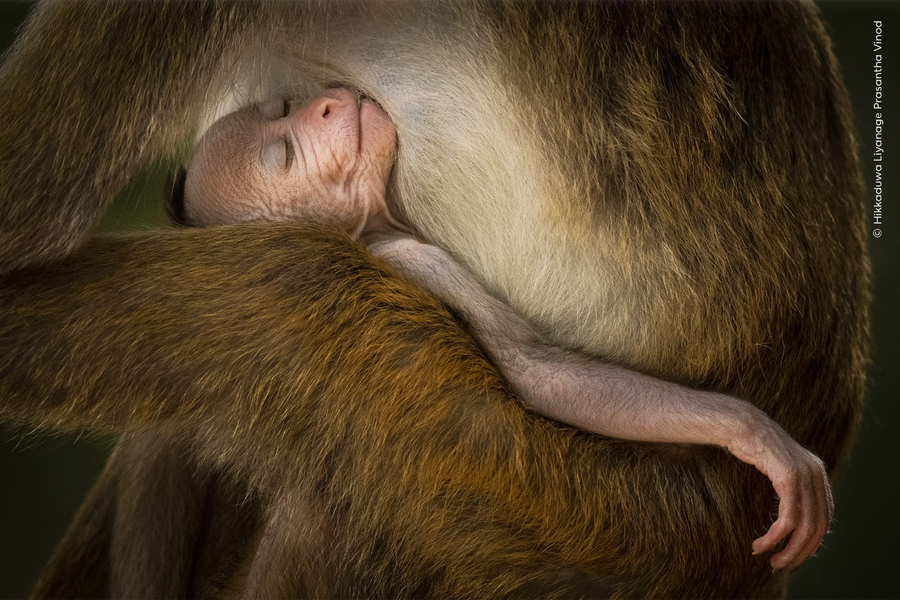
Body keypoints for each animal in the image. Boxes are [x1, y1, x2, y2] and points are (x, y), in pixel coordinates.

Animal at [169, 86, 828, 568]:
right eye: (284, 157)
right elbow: (531, 373)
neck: (371, 231)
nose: (325, 104)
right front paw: (752, 433)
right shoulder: (420, 259)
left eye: (282, 111)